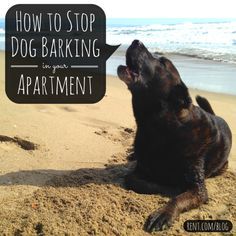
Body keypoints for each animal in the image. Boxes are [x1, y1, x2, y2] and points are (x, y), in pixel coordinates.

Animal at [117, 39, 231, 231]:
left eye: (162, 62)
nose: (136, 41)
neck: (161, 126)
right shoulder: (140, 169)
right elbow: (132, 178)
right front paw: (167, 187)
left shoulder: (197, 188)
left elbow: (179, 198)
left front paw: (164, 212)